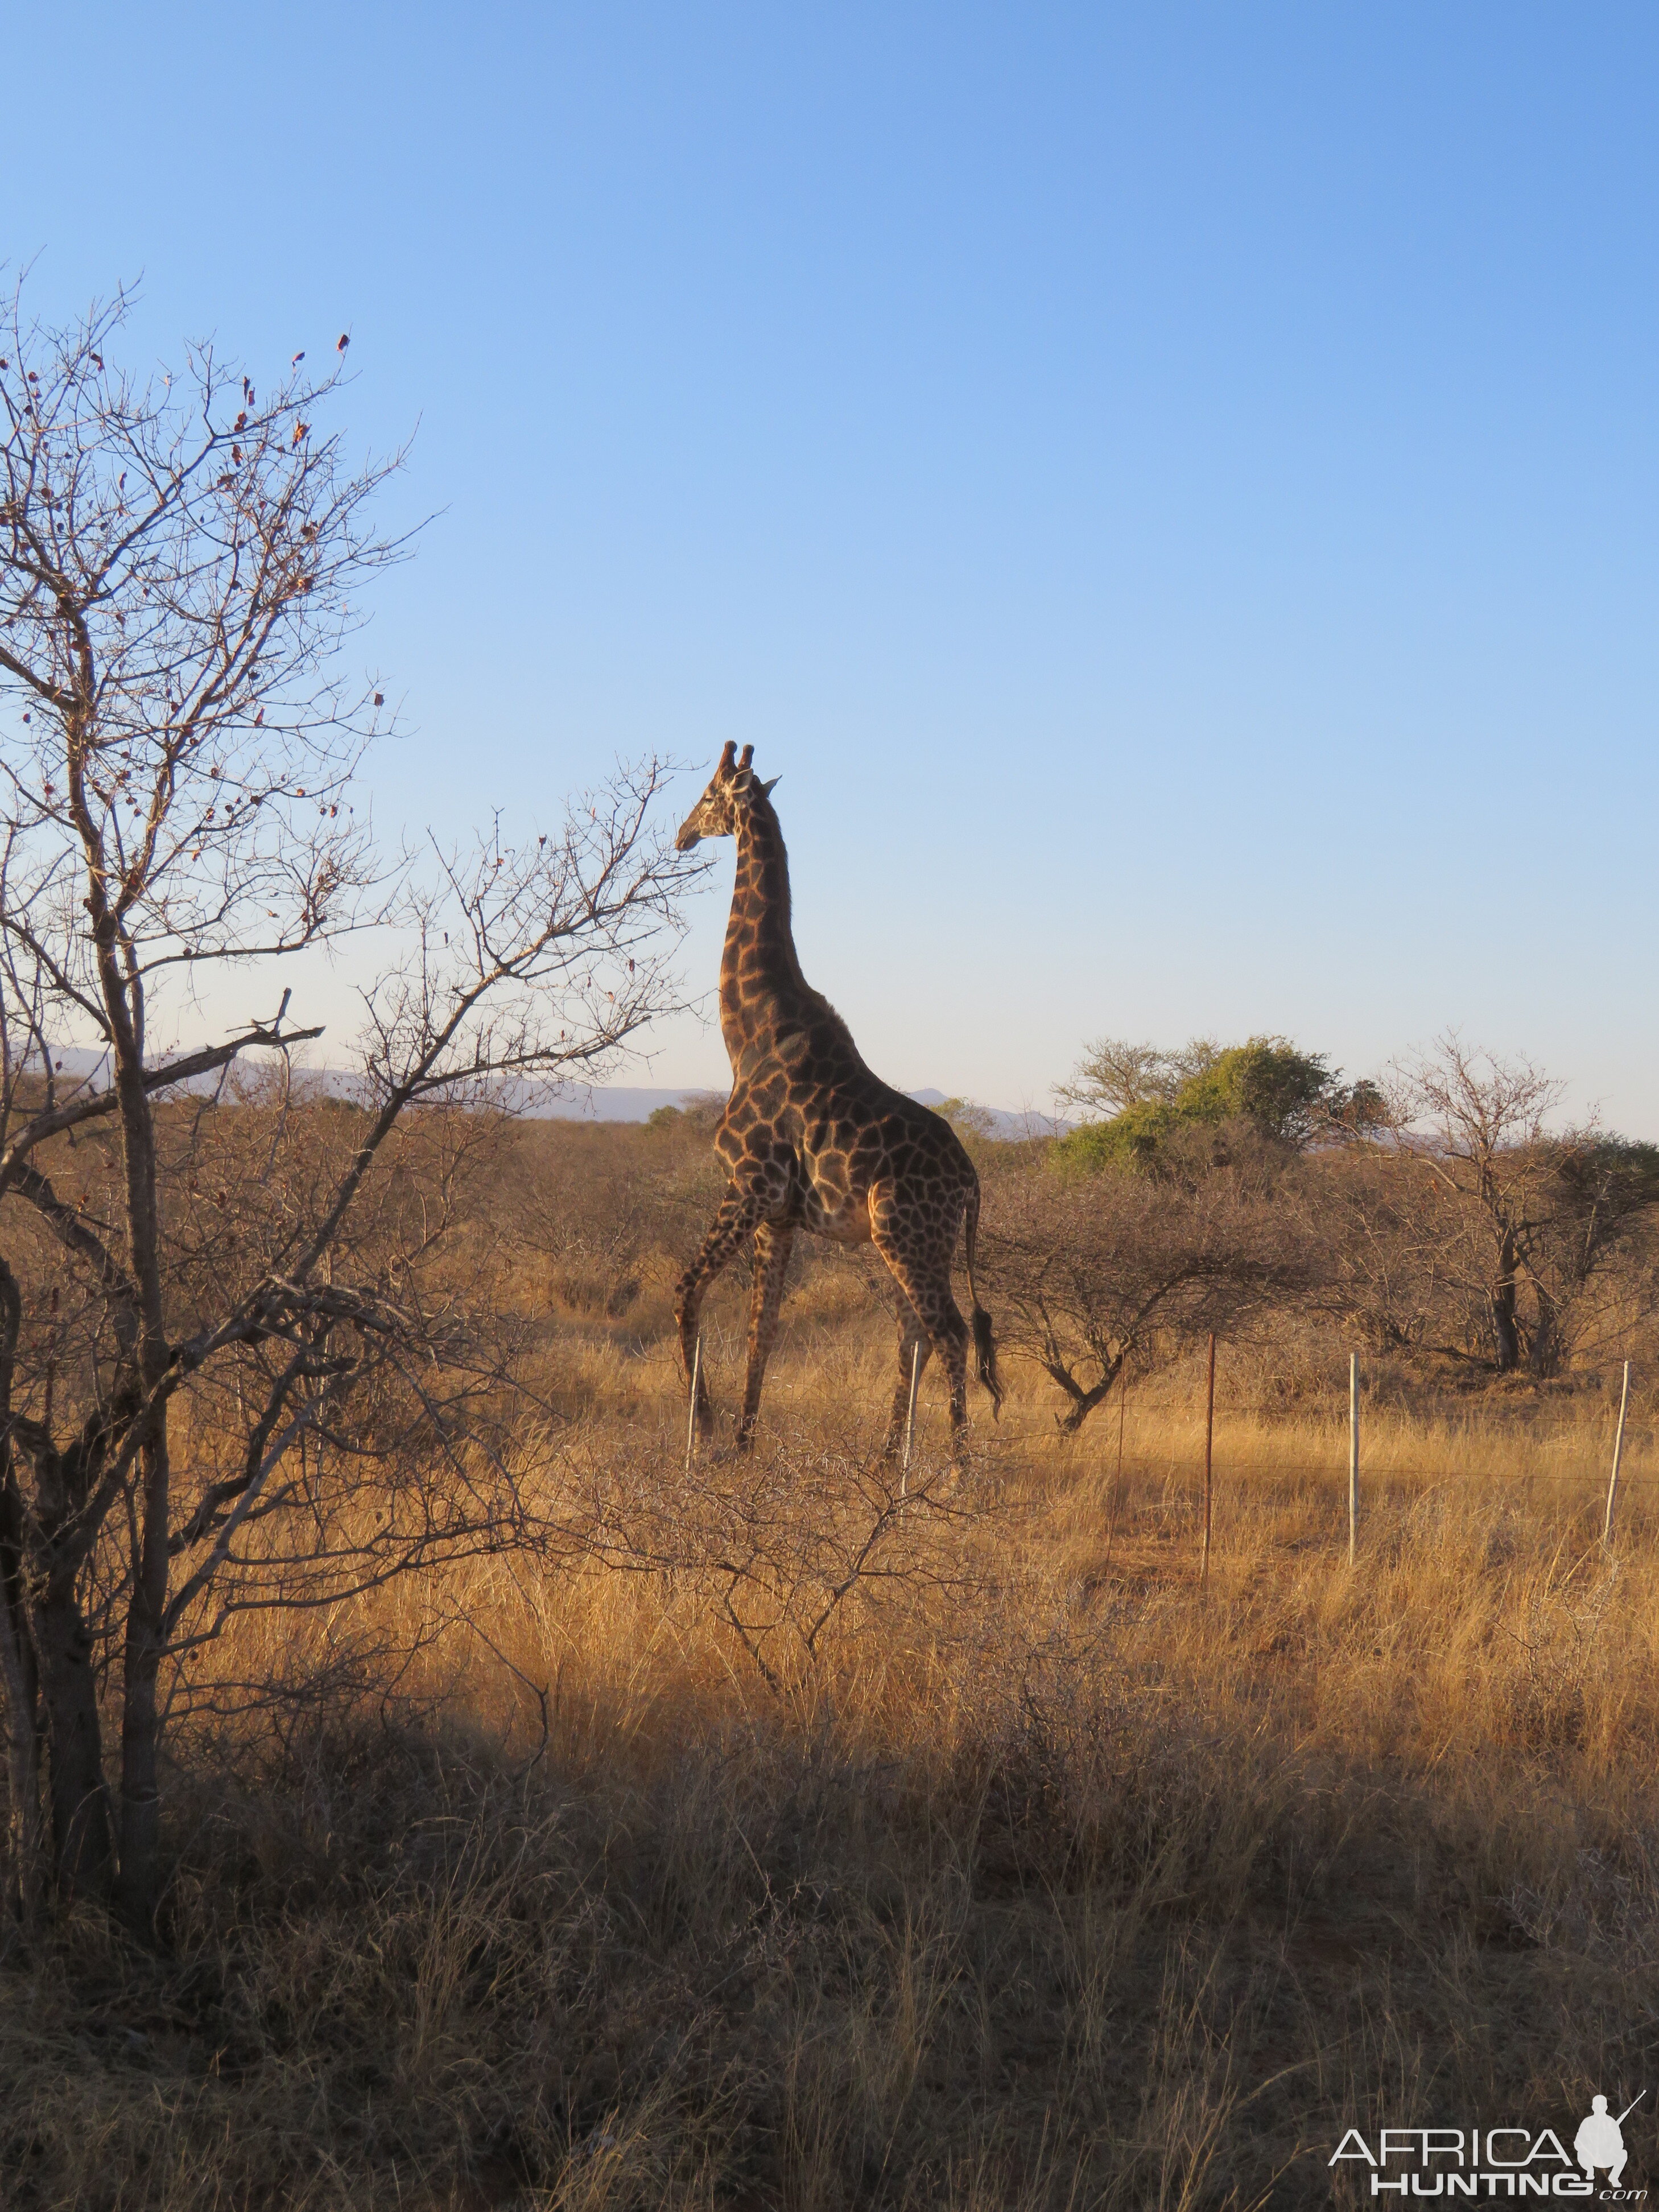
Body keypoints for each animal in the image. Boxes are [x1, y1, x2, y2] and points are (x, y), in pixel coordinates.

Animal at [672, 743, 1008, 1460]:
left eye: (709, 794)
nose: (681, 834)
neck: (752, 1029)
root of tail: (971, 1180)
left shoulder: (747, 1187)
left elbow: (687, 1292)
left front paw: (706, 1433)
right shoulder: (779, 1214)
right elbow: (762, 1329)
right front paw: (741, 1444)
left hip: (906, 1235)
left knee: (949, 1331)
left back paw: (956, 1469)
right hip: (910, 1241)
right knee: (916, 1331)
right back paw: (888, 1459)